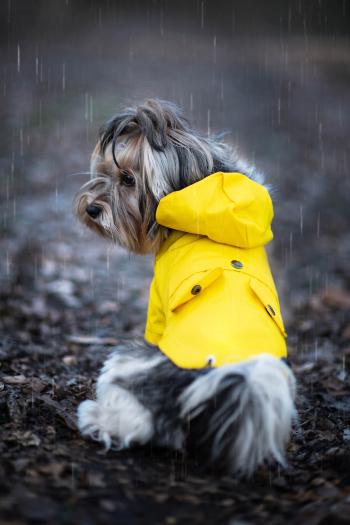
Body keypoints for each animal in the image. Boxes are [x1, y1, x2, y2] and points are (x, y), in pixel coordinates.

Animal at [74, 97, 296, 474]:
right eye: (104, 171)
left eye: (128, 179)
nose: (91, 209)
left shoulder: (157, 306)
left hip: (129, 362)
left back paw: (96, 417)